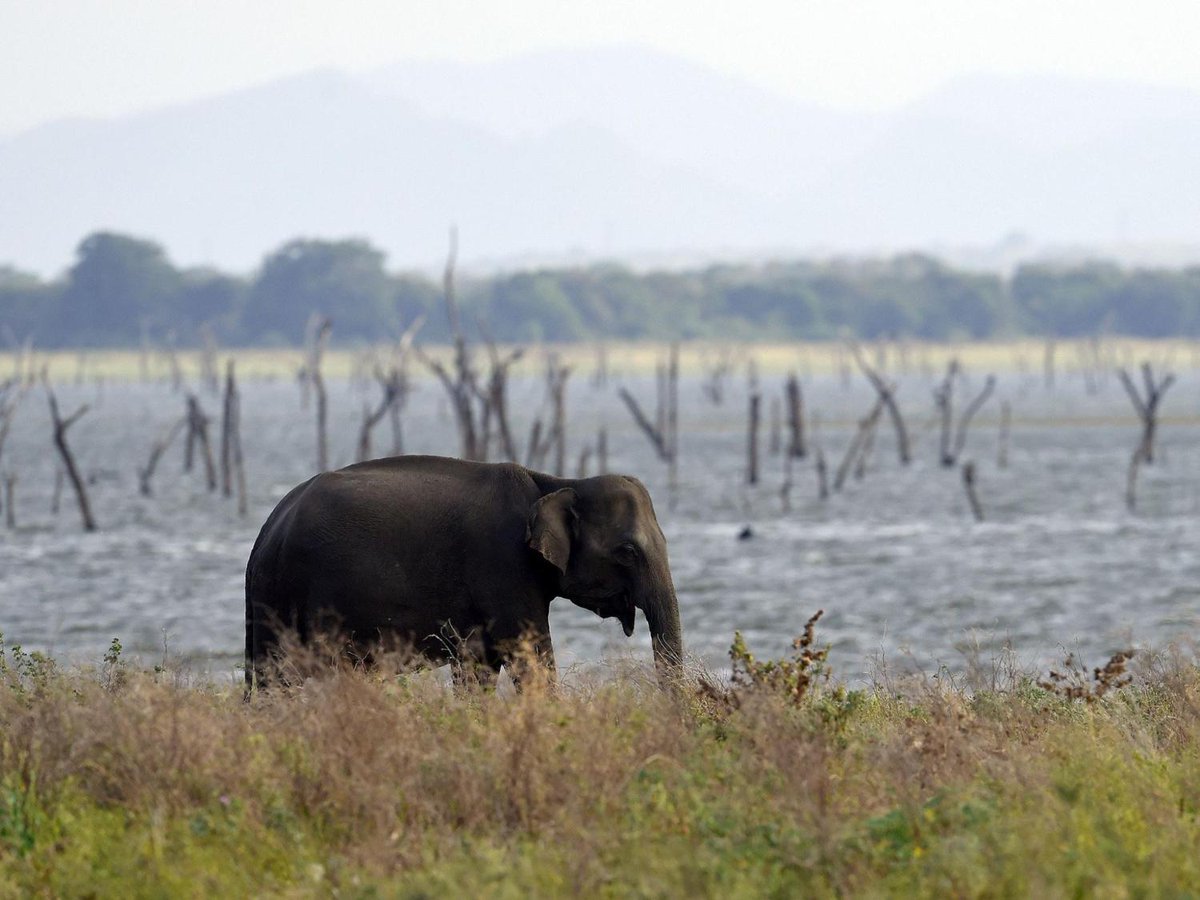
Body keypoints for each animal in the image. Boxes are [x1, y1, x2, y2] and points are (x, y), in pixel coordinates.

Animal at [244, 454, 683, 690]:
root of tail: (267, 528)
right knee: (276, 681)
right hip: (284, 596)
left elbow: (479, 667)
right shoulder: (504, 565)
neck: (555, 481)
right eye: (628, 551)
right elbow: (531, 658)